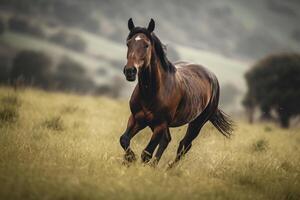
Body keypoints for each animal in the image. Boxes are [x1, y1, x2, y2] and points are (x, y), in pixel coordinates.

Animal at [119, 18, 234, 166]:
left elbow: (146, 153)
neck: (151, 92)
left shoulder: (160, 124)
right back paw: (156, 165)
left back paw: (169, 167)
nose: (130, 71)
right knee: (168, 140)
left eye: (146, 45)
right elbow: (124, 139)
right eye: (128, 43)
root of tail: (212, 77)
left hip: (197, 123)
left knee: (184, 145)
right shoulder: (136, 119)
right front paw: (129, 159)